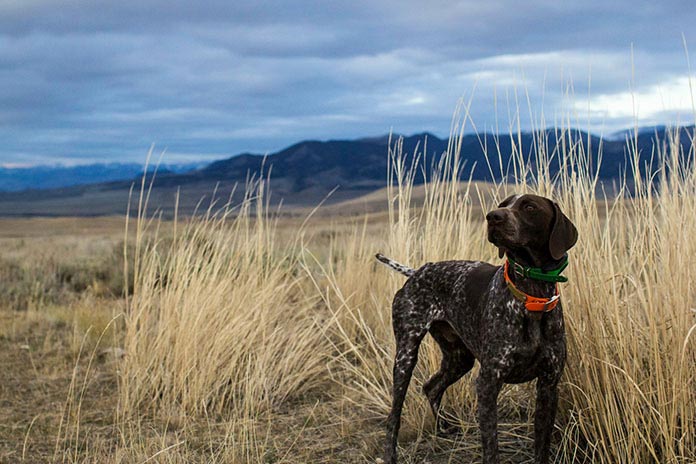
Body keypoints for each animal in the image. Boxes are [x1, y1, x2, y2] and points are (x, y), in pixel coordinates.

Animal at [376, 193, 576, 464]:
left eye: (529, 207)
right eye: (503, 205)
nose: (493, 217)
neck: (530, 296)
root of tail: (419, 271)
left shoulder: (549, 385)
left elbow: (542, 446)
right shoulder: (488, 383)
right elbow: (491, 447)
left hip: (460, 358)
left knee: (431, 387)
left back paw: (443, 428)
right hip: (406, 355)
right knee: (393, 416)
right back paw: (391, 453)